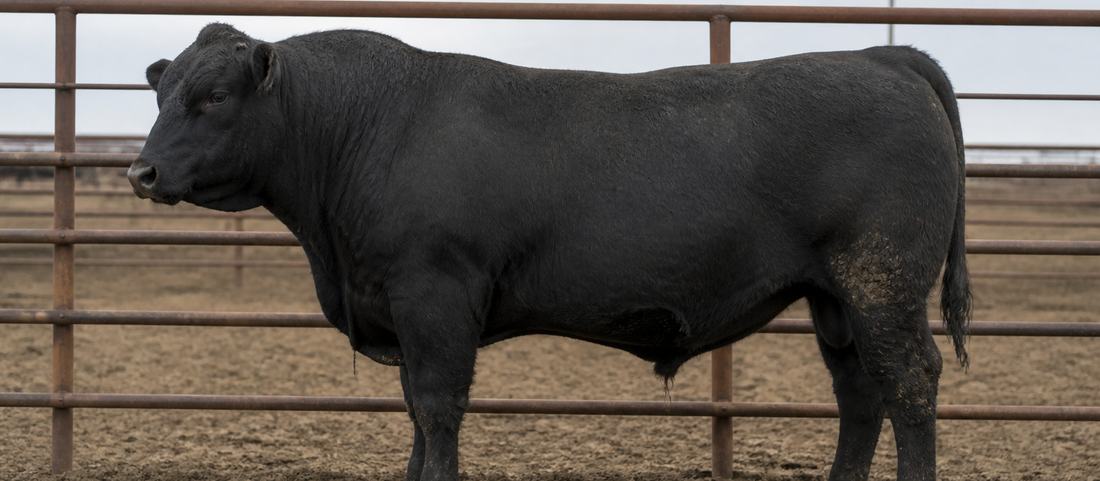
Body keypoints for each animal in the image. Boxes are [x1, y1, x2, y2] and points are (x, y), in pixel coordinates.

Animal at [128, 23, 971, 481]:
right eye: (162, 94)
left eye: (214, 97)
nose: (141, 172)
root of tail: (880, 56)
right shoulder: (402, 309)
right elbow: (414, 410)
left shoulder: (435, 293)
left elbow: (437, 407)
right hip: (835, 297)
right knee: (860, 395)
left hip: (881, 281)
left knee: (909, 384)